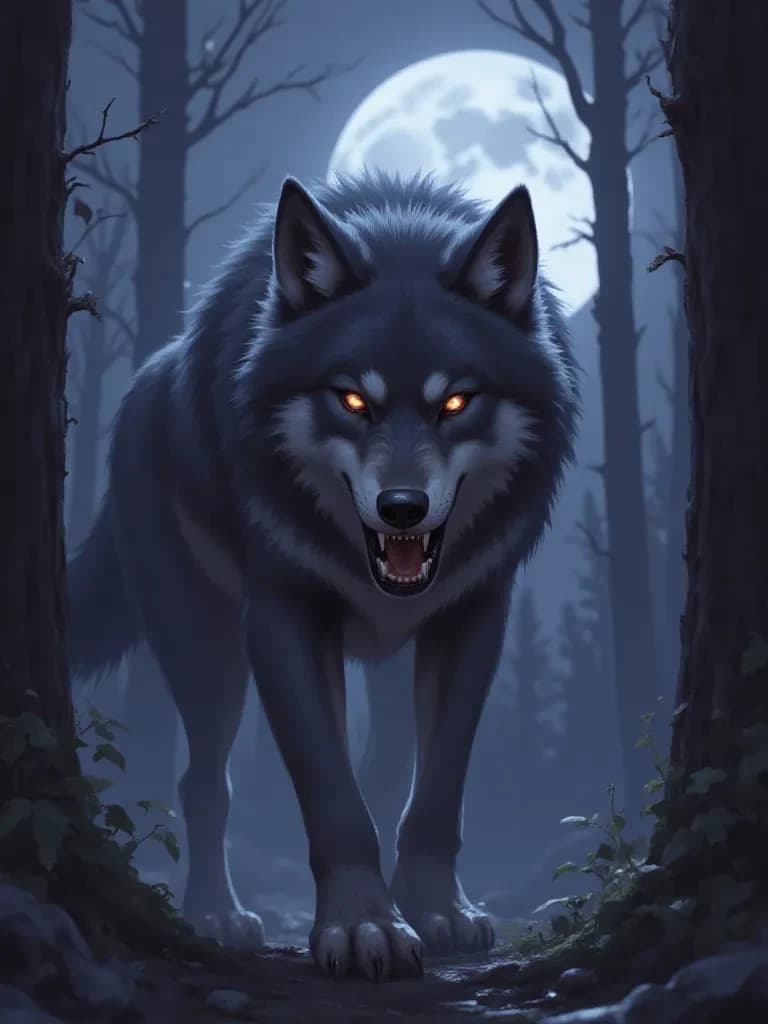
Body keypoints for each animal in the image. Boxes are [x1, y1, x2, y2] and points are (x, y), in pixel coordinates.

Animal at [68, 170, 579, 980]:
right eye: (353, 399)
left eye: (455, 402)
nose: (402, 508)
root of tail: (147, 378)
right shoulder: (282, 617)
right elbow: (335, 799)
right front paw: (365, 926)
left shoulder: (475, 617)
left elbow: (435, 791)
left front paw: (433, 910)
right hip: (203, 646)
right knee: (203, 783)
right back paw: (215, 914)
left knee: (384, 767)